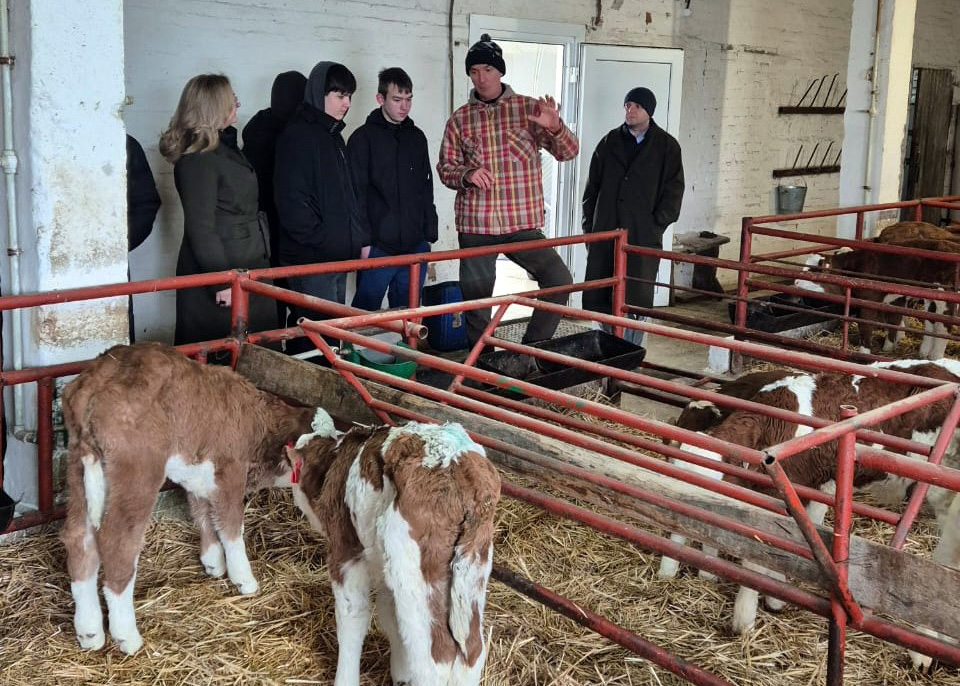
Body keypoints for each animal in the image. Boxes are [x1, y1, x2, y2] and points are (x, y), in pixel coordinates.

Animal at [59, 344, 316, 656]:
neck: (256, 420)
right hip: (137, 473)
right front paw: (244, 578)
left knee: (78, 539)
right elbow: (232, 526)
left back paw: (89, 632)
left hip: (77, 468)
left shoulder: (198, 471)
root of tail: (99, 377)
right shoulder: (230, 469)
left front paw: (213, 561)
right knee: (117, 543)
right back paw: (127, 636)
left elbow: (203, 511)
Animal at [286, 414, 502, 686]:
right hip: (472, 571)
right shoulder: (384, 567)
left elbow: (353, 615)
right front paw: (400, 672)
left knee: (436, 660)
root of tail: (460, 469)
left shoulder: (346, 551)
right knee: (471, 653)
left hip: (417, 575)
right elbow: (390, 616)